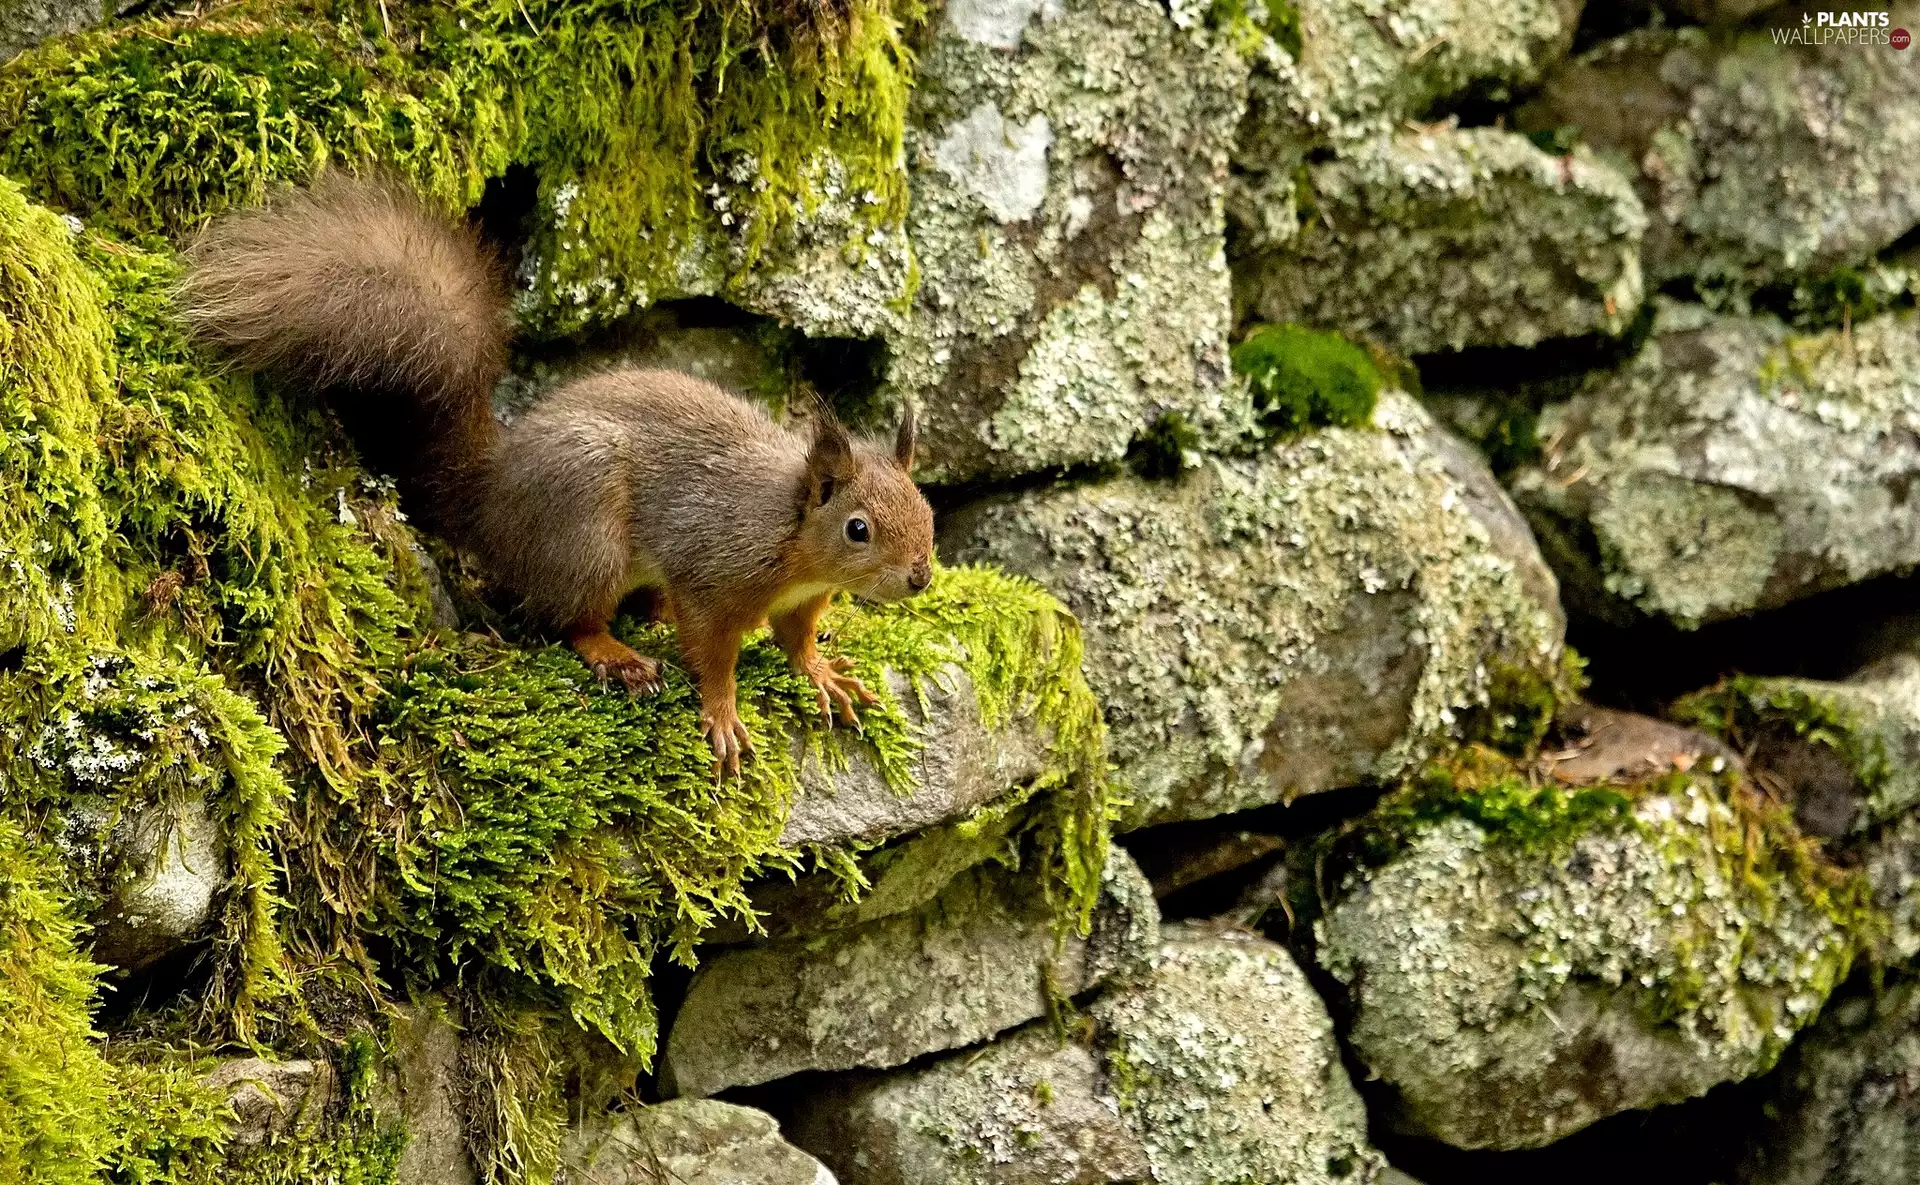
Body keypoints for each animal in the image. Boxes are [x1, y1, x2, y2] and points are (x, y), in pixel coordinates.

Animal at [179, 173, 935, 776]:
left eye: (926, 511)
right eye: (859, 529)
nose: (921, 578)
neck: (793, 534)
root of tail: (490, 499)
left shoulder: (803, 599)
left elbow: (796, 638)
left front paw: (822, 674)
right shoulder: (716, 572)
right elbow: (711, 652)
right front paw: (722, 714)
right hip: (586, 528)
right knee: (567, 620)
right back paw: (617, 652)